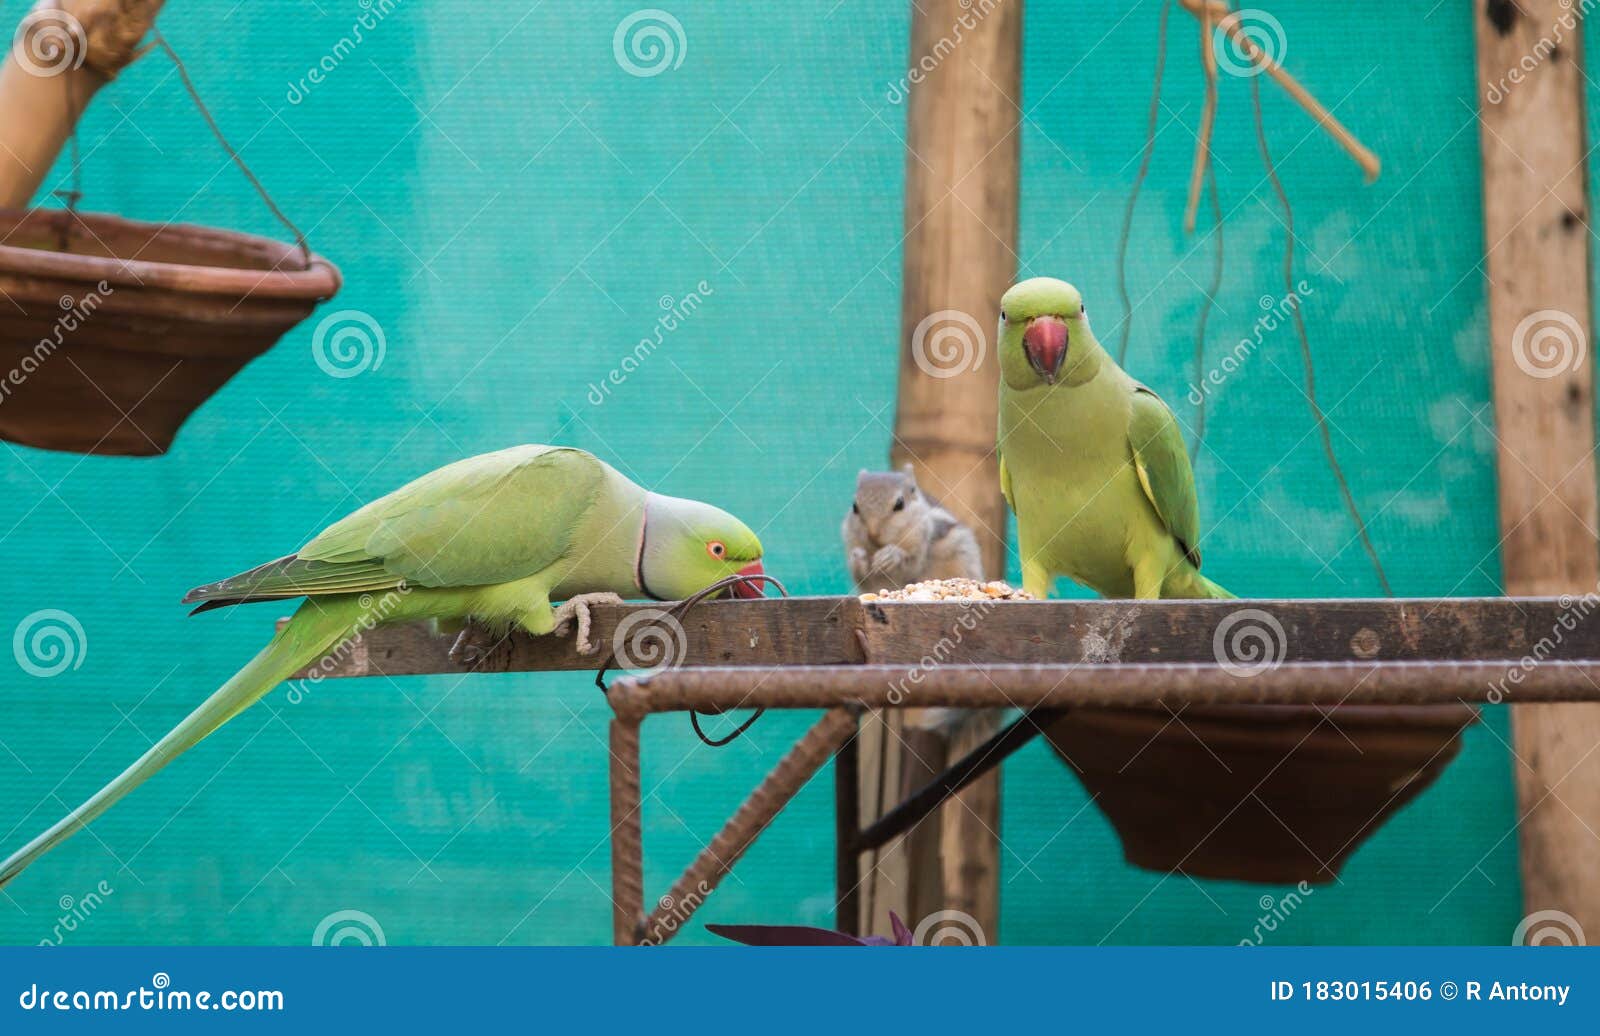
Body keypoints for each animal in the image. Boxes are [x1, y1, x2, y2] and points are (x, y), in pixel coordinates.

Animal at [842, 465, 984, 593]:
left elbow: (912, 566)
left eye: (899, 504)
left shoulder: (922, 545)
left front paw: (891, 555)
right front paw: (858, 557)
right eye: (854, 506)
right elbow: (862, 577)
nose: (872, 534)